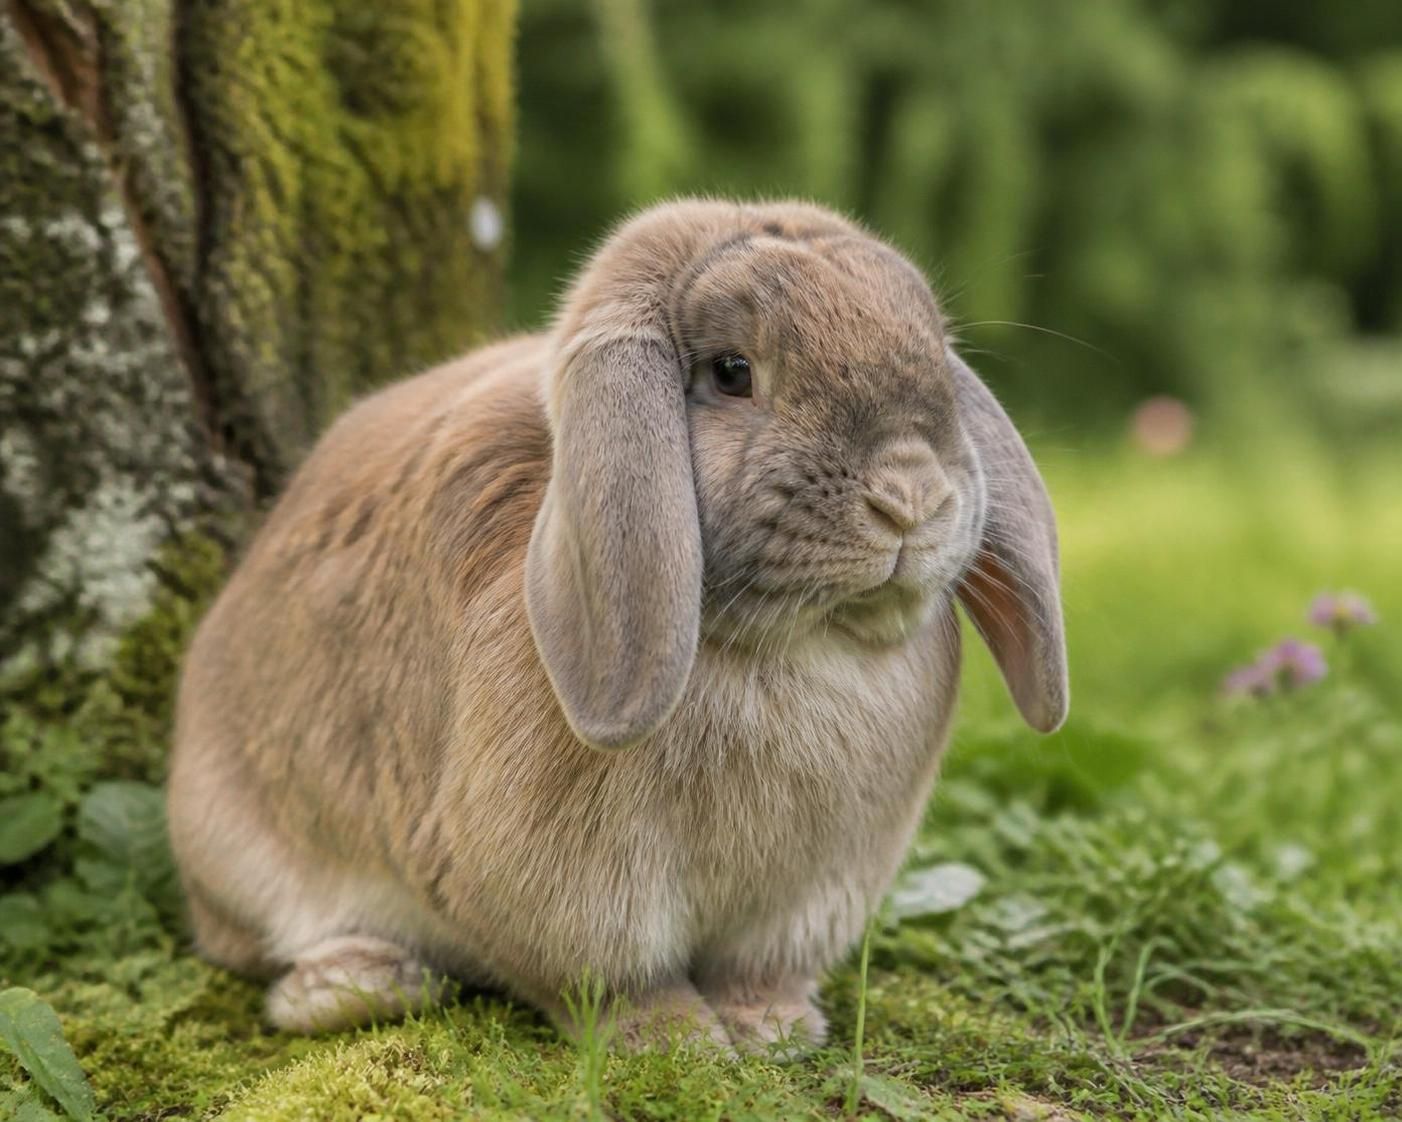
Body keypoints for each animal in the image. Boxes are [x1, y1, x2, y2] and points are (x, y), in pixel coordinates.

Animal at [167, 198, 1067, 1051]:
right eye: (732, 372)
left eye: (938, 362)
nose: (910, 496)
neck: (789, 646)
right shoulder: (570, 889)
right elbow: (611, 978)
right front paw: (675, 1040)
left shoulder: (813, 892)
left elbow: (759, 967)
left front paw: (771, 1027)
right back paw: (353, 987)